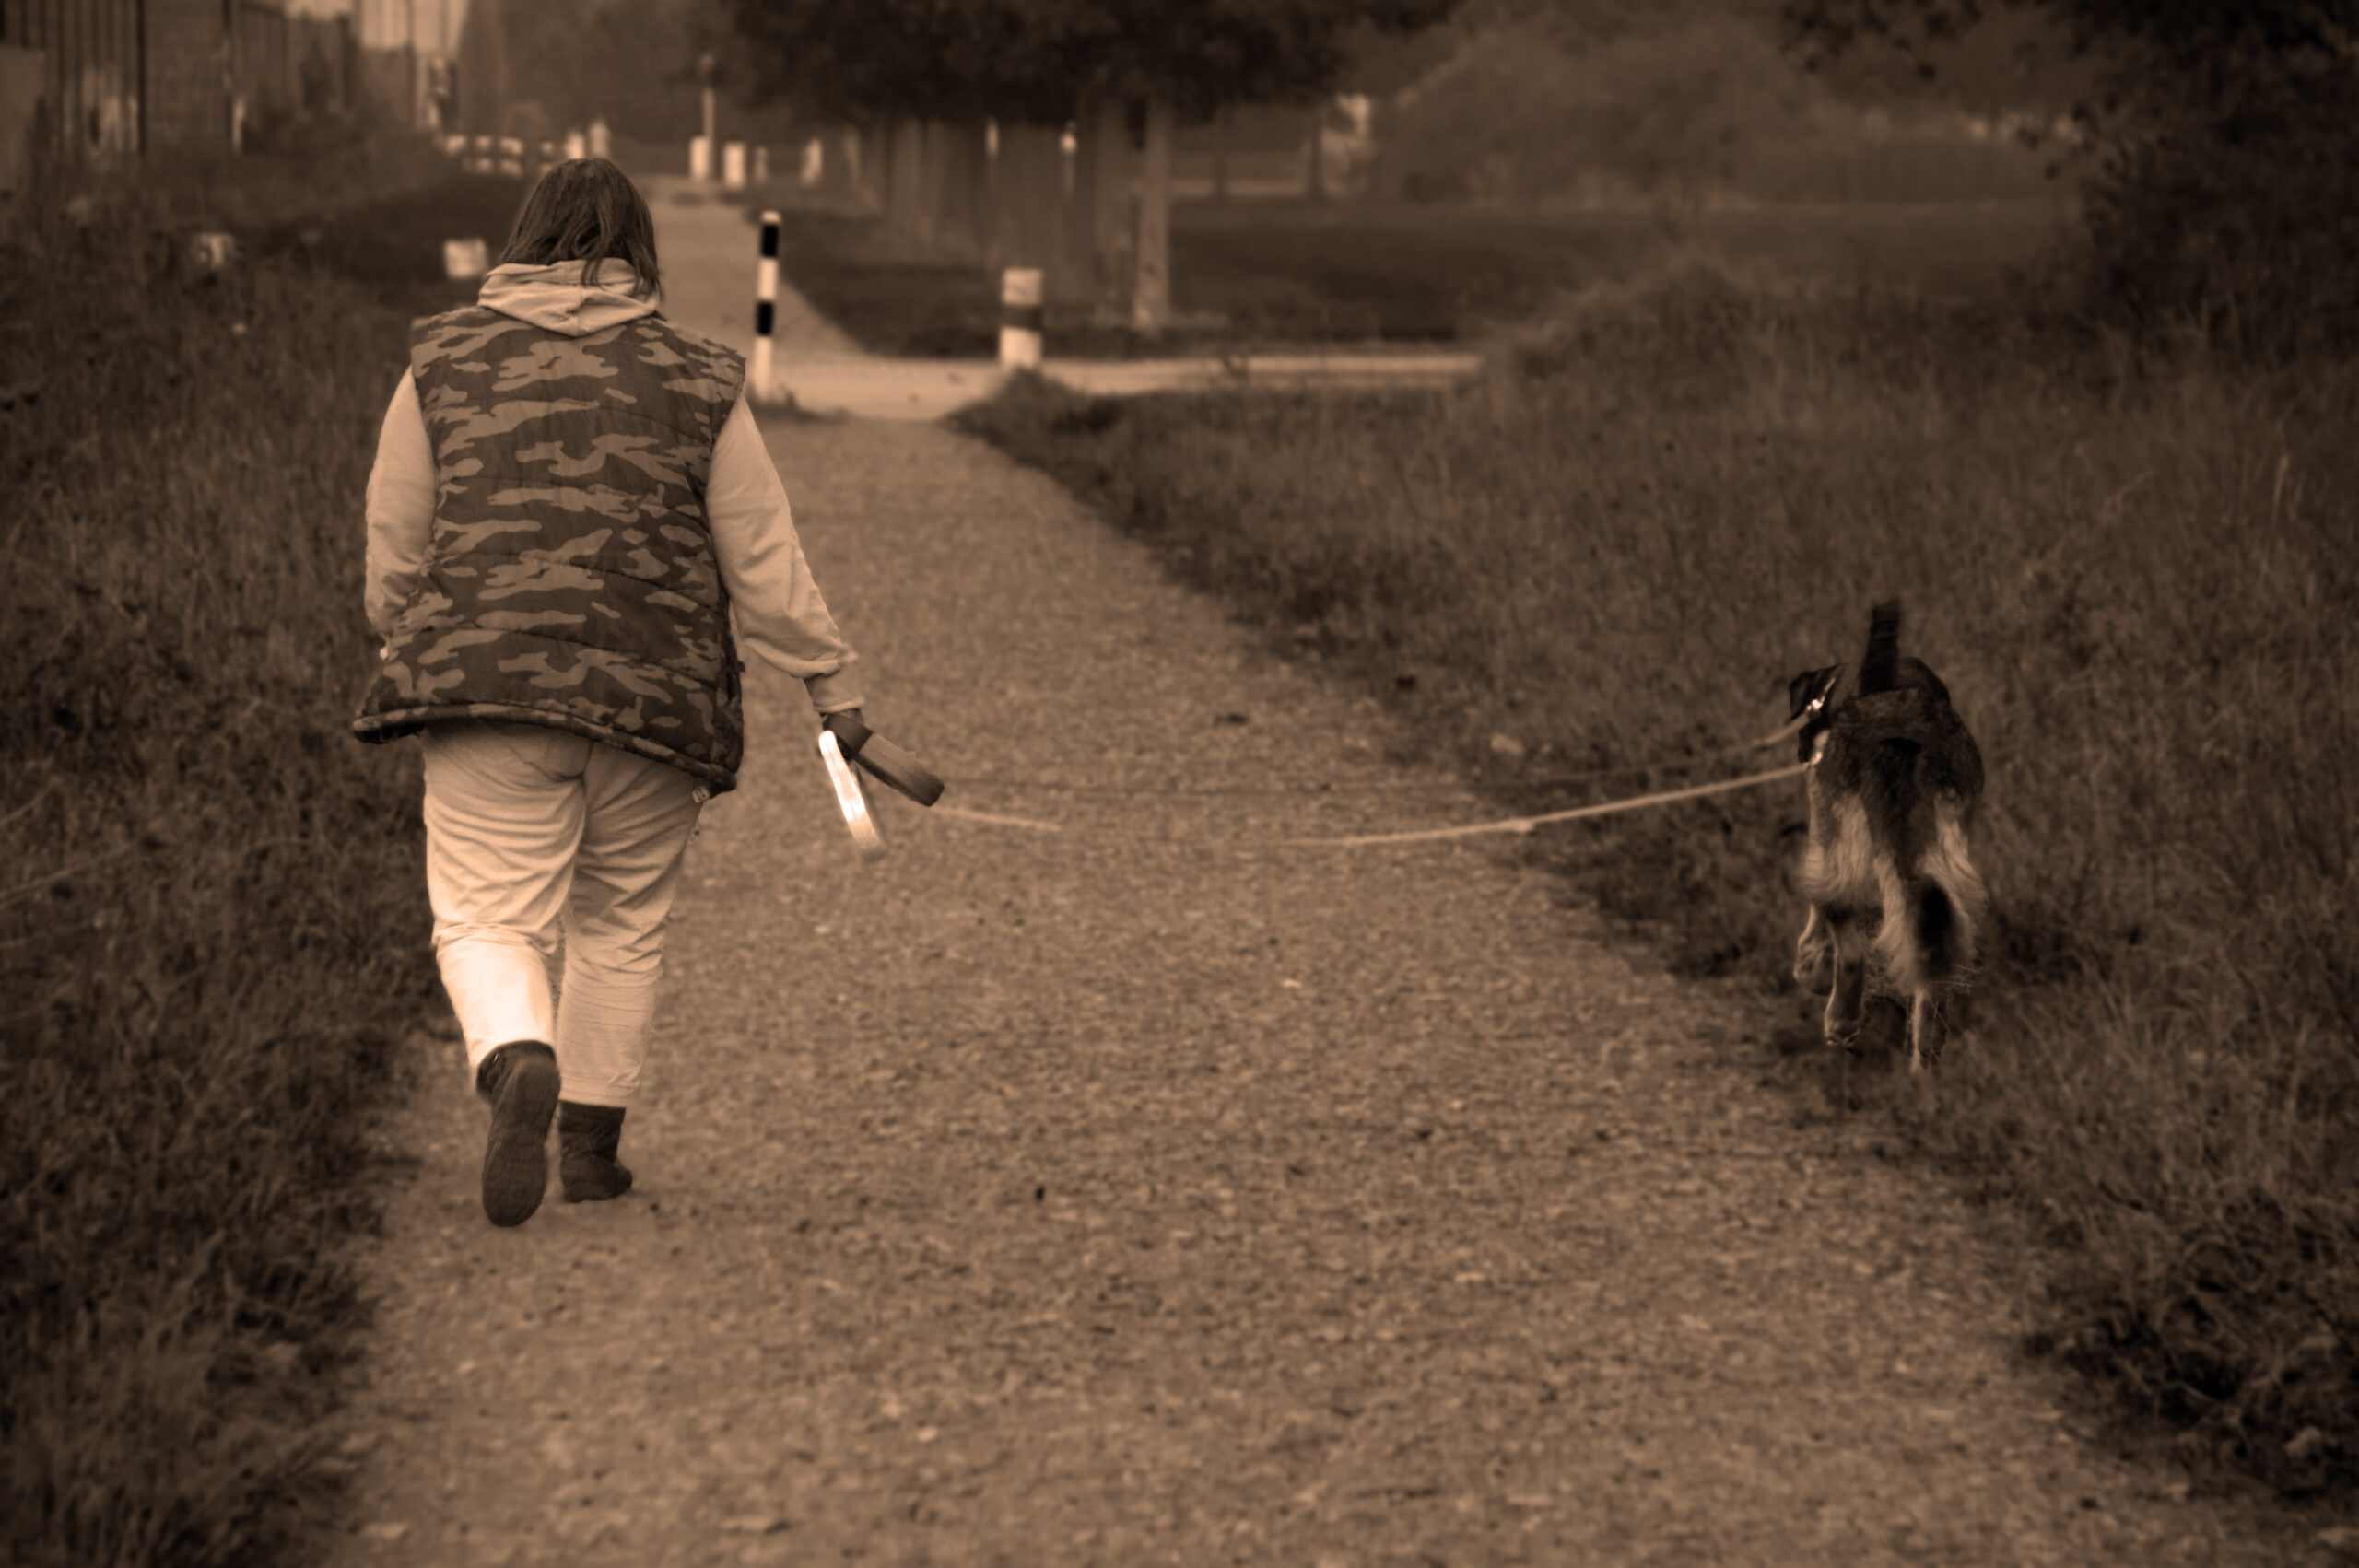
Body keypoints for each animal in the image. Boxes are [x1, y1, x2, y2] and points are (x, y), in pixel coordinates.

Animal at [1783, 603, 1990, 1070]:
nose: (1803, 750)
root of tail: (1895, 736)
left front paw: (1810, 965)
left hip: (1841, 845)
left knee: (1850, 937)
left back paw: (1840, 1019)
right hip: (1948, 857)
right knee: (1939, 936)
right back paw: (1928, 1043)